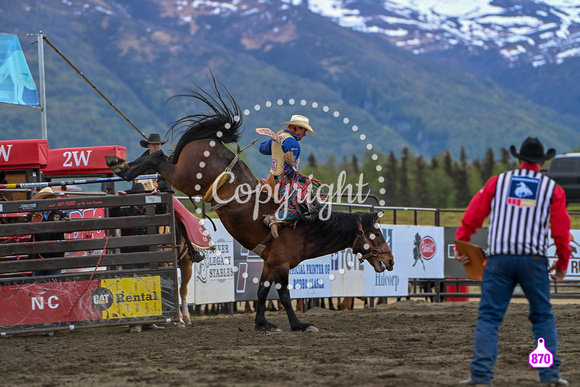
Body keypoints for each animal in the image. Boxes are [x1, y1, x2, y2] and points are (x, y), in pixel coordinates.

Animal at [107, 79, 394, 334]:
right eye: (376, 234)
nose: (390, 261)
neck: (306, 228)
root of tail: (214, 140)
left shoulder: (269, 262)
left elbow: (261, 292)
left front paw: (262, 323)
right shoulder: (282, 264)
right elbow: (285, 296)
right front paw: (299, 325)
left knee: (157, 156)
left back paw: (120, 164)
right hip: (185, 177)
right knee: (157, 157)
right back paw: (122, 167)